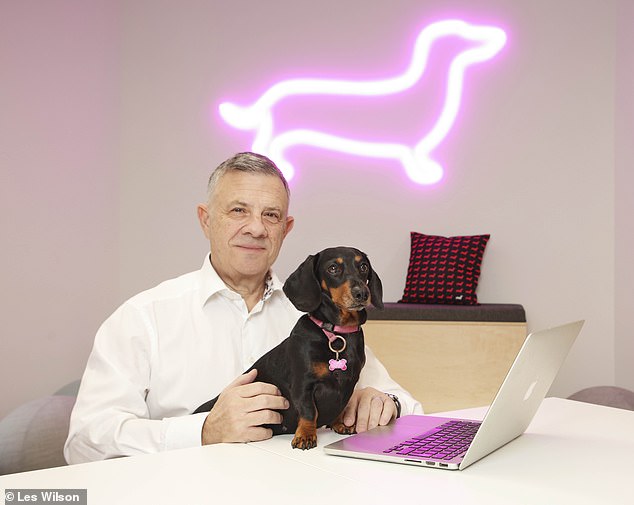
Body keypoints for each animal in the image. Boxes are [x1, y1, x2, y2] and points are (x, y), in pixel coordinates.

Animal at [193, 247, 380, 448]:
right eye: (332, 268)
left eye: (363, 266)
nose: (362, 293)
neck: (338, 333)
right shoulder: (303, 384)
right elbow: (309, 411)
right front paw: (305, 435)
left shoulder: (348, 385)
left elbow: (341, 406)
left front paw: (339, 424)